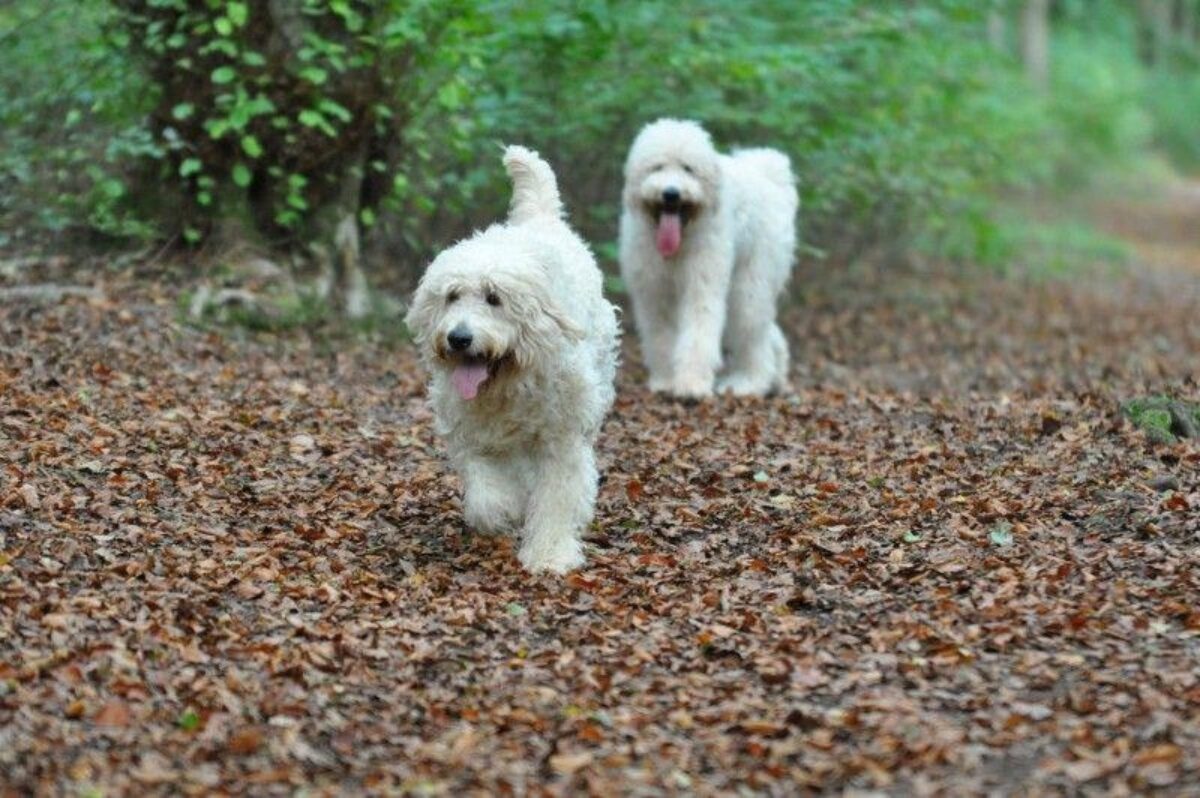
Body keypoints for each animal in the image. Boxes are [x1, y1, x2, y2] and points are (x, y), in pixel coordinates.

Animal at [408, 146, 624, 573]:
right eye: (452, 296)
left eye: (494, 298)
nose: (459, 338)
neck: (509, 381)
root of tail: (541, 219)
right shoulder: (472, 434)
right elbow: (486, 490)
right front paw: (503, 512)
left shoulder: (562, 440)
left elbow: (557, 496)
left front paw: (550, 554)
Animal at [619, 117, 796, 398]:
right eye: (657, 167)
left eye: (688, 169)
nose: (671, 194)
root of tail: (769, 176)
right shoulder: (654, 293)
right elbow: (660, 338)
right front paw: (666, 379)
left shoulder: (701, 287)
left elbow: (698, 333)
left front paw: (691, 385)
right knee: (769, 332)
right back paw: (775, 378)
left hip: (749, 287)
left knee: (754, 339)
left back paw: (750, 382)